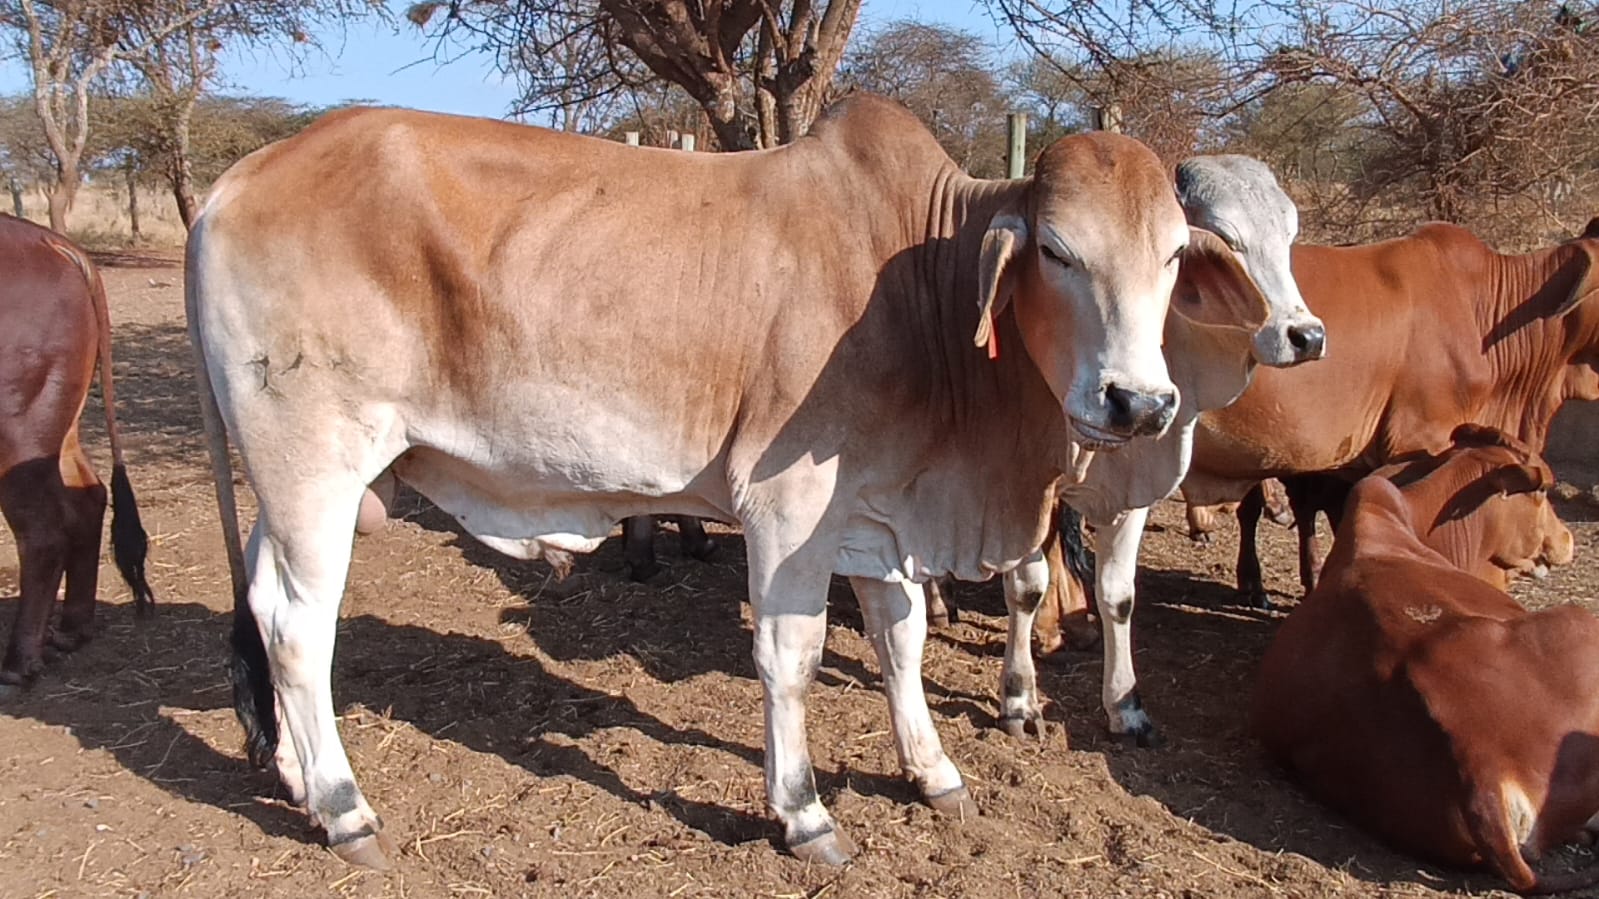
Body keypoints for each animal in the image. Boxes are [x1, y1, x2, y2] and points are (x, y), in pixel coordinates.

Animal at [0, 214, 154, 689]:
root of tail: (52, 242)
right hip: (57, 416)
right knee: (87, 495)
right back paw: (71, 630)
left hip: (17, 424)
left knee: (42, 531)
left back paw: (18, 662)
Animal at [184, 94, 1245, 868]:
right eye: (1058, 252)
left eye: (1170, 255)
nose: (1138, 402)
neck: (919, 287)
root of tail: (236, 178)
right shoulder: (786, 510)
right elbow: (792, 660)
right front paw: (804, 812)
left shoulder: (877, 516)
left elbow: (900, 647)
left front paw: (933, 771)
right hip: (314, 463)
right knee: (298, 630)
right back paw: (343, 807)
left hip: (297, 484)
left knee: (263, 602)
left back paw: (292, 775)